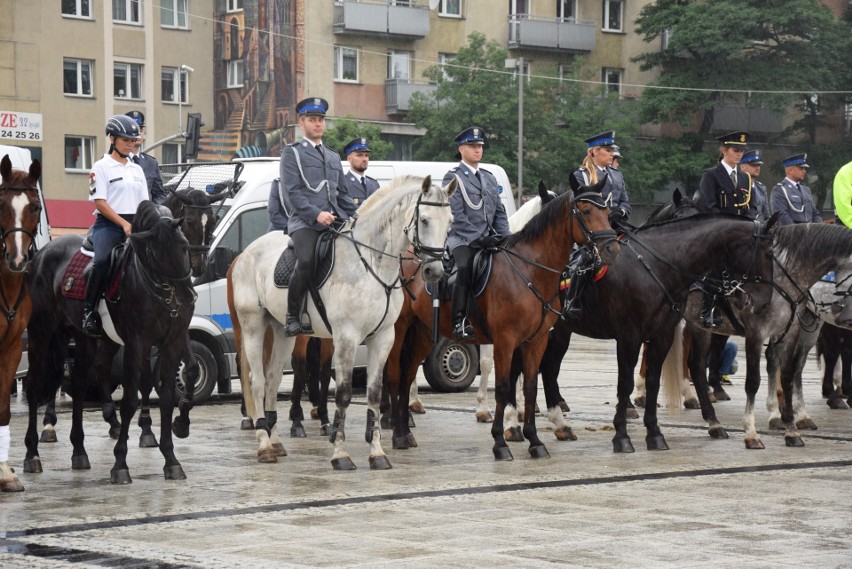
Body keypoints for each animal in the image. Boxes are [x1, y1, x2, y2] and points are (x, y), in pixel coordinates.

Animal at [25, 201, 196, 484]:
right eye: (156, 252)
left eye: (184, 246)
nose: (188, 296)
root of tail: (42, 253)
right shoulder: (137, 344)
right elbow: (129, 402)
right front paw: (120, 464)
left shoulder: (173, 342)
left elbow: (168, 397)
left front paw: (171, 459)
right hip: (40, 332)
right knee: (34, 387)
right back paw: (32, 455)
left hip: (82, 338)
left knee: (80, 385)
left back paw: (79, 452)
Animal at [226, 175, 452, 468]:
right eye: (423, 220)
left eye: (450, 222)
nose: (434, 271)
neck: (372, 264)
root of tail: (244, 254)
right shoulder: (346, 337)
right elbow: (343, 394)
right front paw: (341, 454)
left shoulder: (384, 337)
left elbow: (374, 393)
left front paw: (377, 454)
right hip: (253, 326)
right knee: (257, 382)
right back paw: (264, 444)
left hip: (283, 333)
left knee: (273, 380)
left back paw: (275, 442)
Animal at [386, 175, 620, 460]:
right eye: (585, 211)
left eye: (607, 212)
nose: (611, 249)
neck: (529, 269)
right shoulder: (505, 340)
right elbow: (502, 385)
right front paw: (500, 439)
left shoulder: (536, 341)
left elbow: (529, 385)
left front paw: (534, 440)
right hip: (399, 329)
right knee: (395, 373)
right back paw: (397, 431)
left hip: (422, 332)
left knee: (408, 374)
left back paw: (404, 430)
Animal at [528, 214, 776, 452]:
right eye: (769, 253)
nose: (762, 302)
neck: (657, 267)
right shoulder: (629, 337)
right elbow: (625, 384)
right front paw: (622, 436)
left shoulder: (662, 335)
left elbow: (653, 382)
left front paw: (654, 434)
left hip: (560, 332)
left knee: (548, 369)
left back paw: (559, 425)